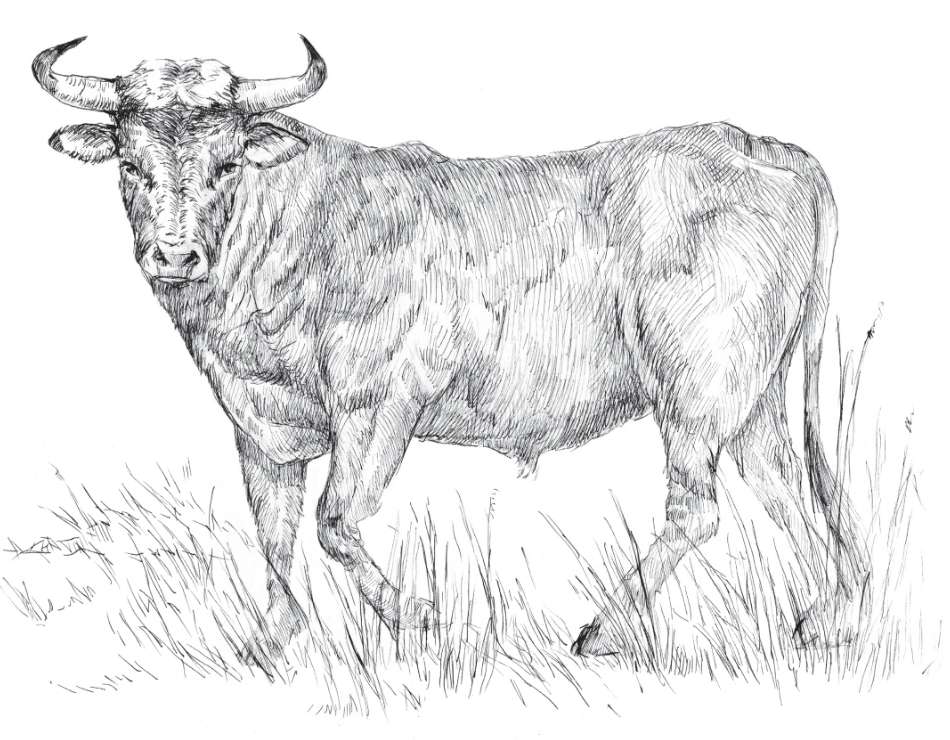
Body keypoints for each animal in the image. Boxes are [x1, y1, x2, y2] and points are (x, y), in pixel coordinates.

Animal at [33, 36, 868, 659]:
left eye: (227, 162)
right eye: (130, 165)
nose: (174, 257)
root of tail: (751, 142)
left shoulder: (377, 405)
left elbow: (332, 521)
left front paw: (418, 619)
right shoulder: (262, 426)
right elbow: (273, 532)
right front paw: (271, 641)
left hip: (695, 390)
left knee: (698, 509)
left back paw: (604, 629)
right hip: (753, 397)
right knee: (788, 492)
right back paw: (826, 622)